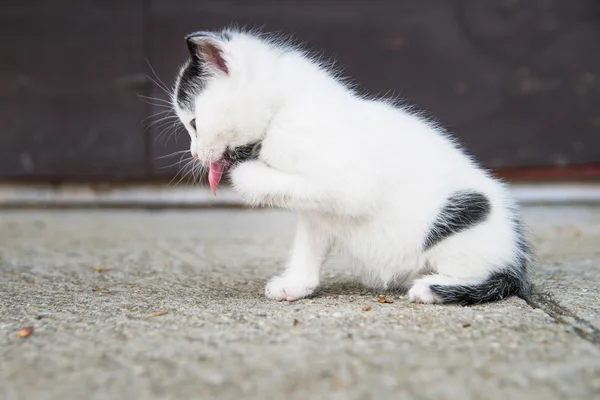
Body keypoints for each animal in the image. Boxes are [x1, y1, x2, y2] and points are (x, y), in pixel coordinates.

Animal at [171, 28, 532, 304]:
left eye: (194, 123)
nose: (194, 154)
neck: (284, 111)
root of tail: (516, 259)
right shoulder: (316, 208)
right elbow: (307, 244)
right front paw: (297, 284)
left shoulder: (349, 186)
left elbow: (272, 179)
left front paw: (245, 173)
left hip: (464, 227)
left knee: (487, 276)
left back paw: (431, 288)